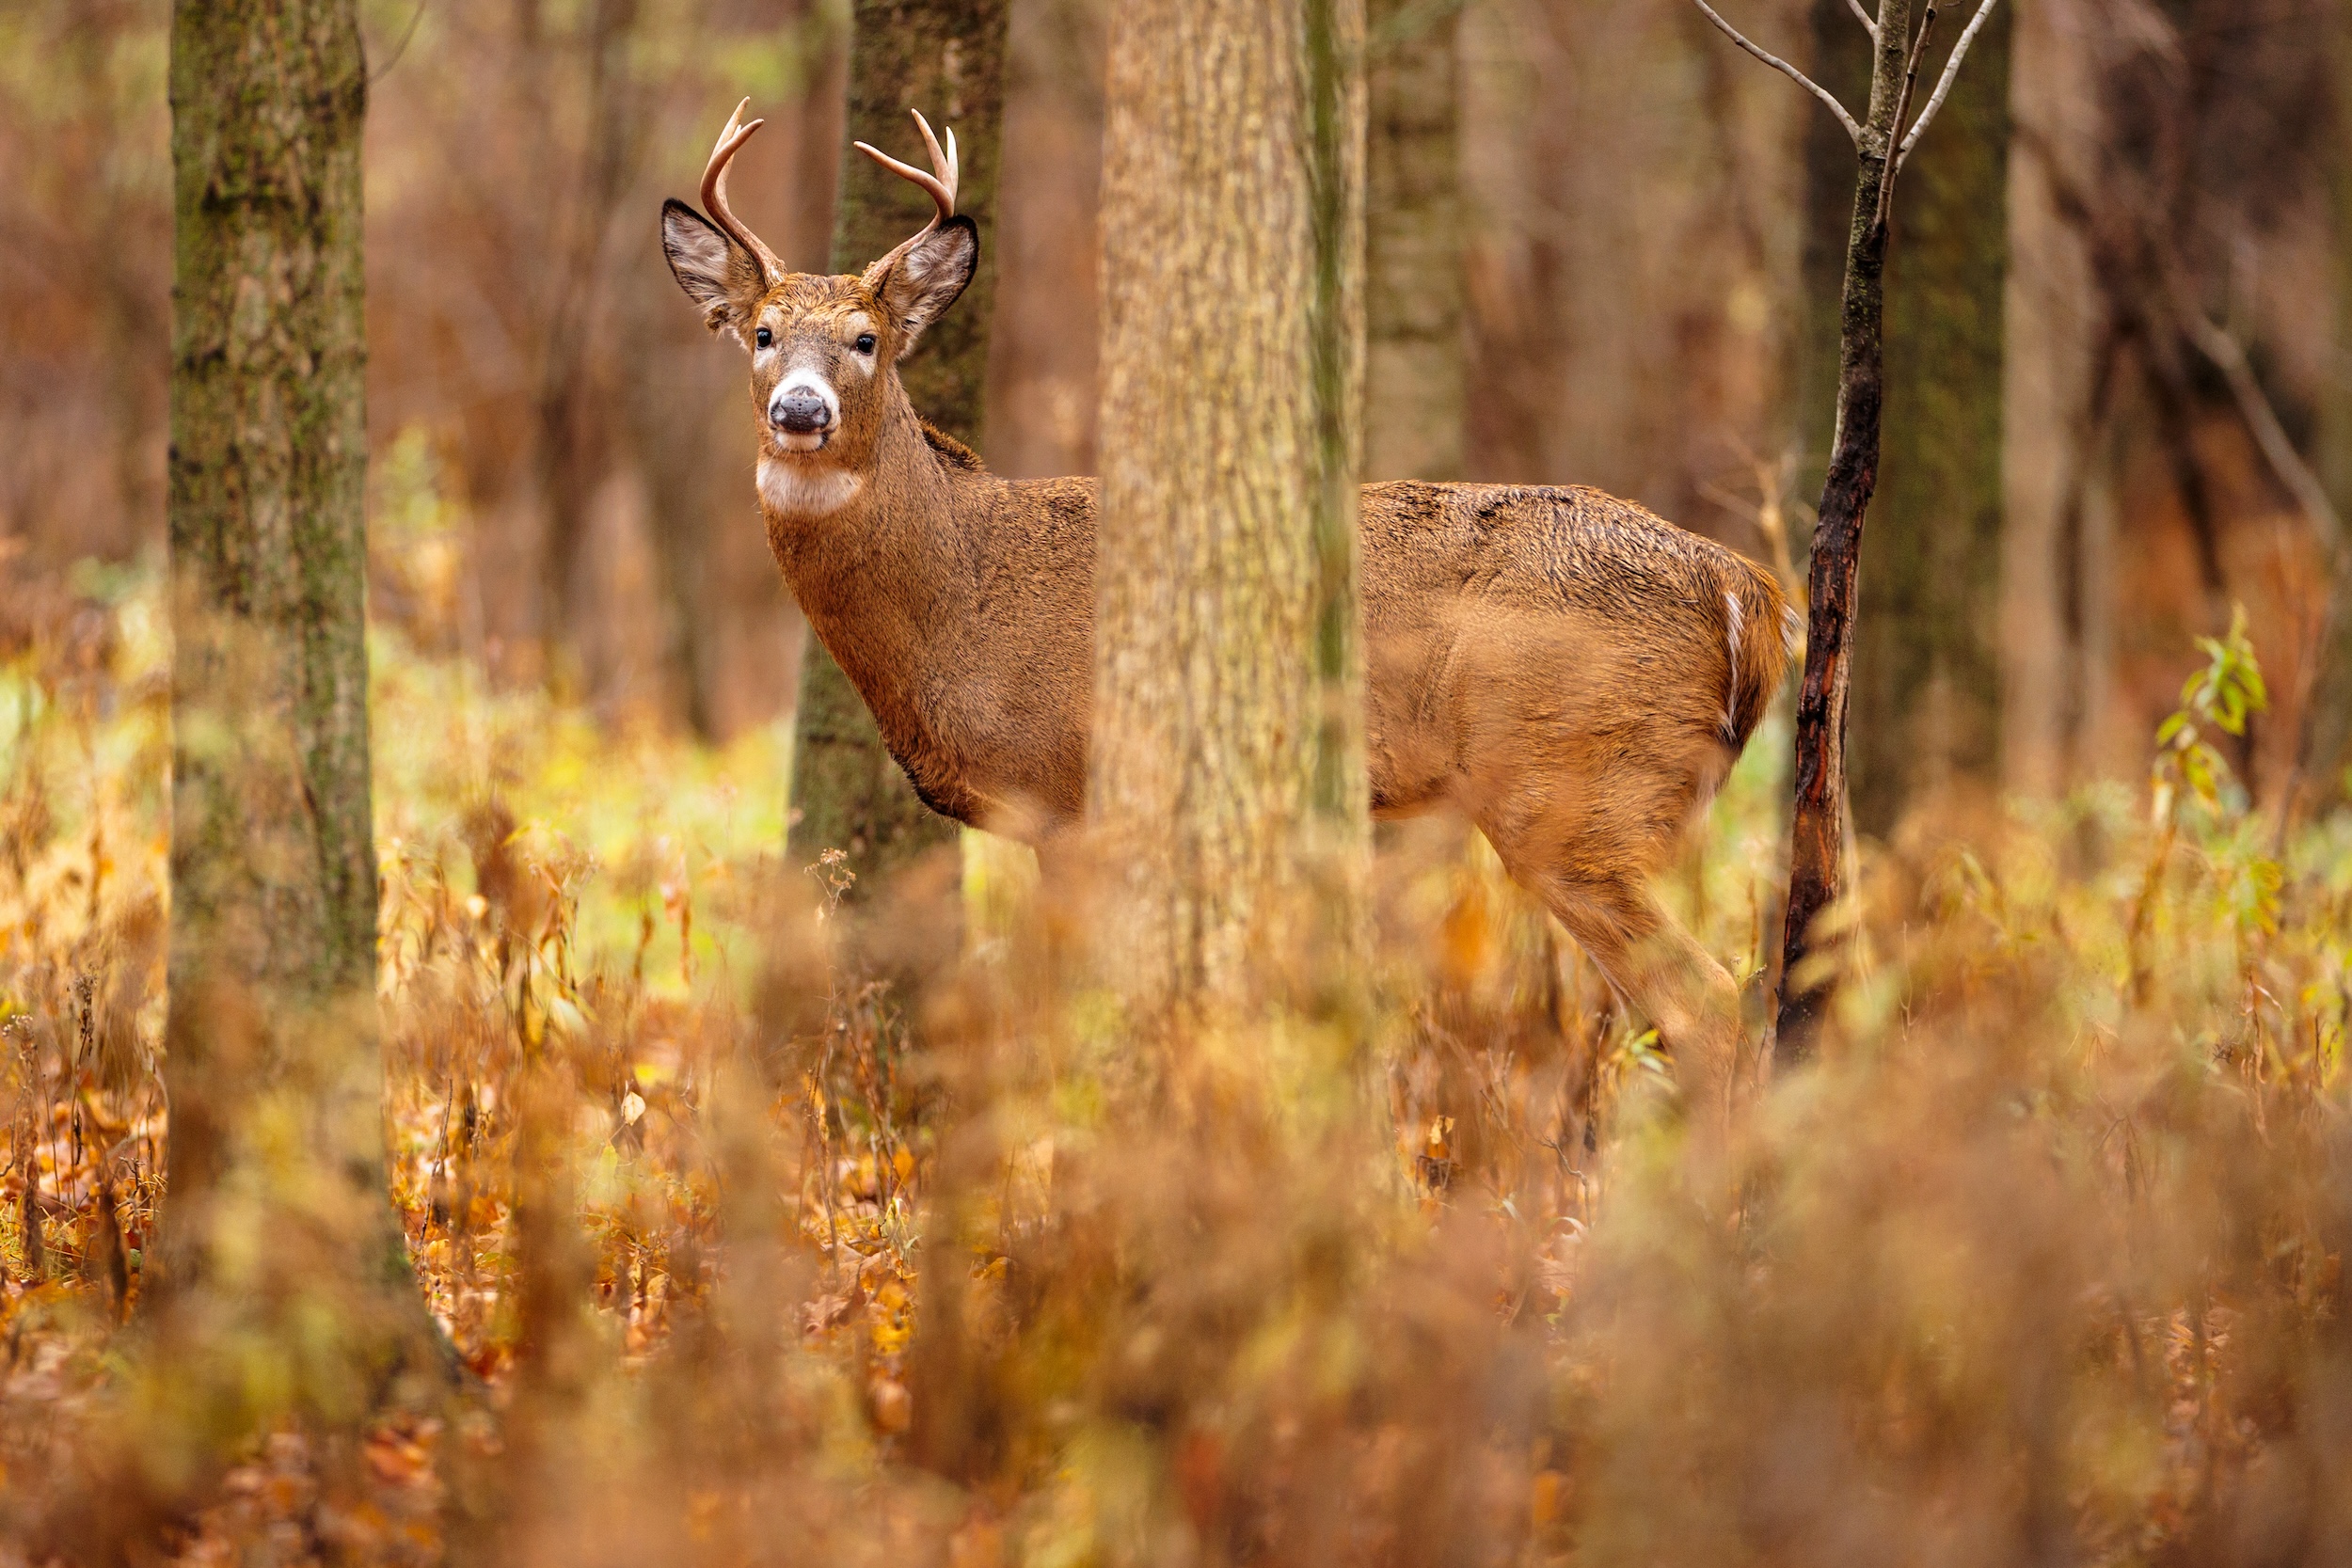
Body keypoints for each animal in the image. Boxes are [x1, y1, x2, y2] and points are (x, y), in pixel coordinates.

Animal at [661, 102, 1796, 1112]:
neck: (959, 599)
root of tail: (1746, 591)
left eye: (865, 340)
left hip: (1575, 792)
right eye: (761, 332)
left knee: (1710, 999)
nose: (798, 411)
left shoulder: (1071, 795)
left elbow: (1068, 1007)